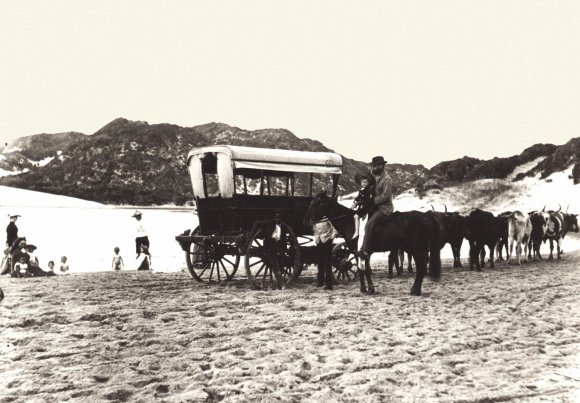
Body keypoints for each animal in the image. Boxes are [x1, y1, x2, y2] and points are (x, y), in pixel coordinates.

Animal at [304, 193, 440, 296]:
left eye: (315, 204)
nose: (307, 221)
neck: (350, 222)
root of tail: (427, 217)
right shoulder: (360, 252)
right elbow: (362, 269)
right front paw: (364, 288)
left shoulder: (361, 251)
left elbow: (364, 269)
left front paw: (370, 288)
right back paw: (415, 290)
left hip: (418, 250)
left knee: (421, 268)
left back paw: (415, 291)